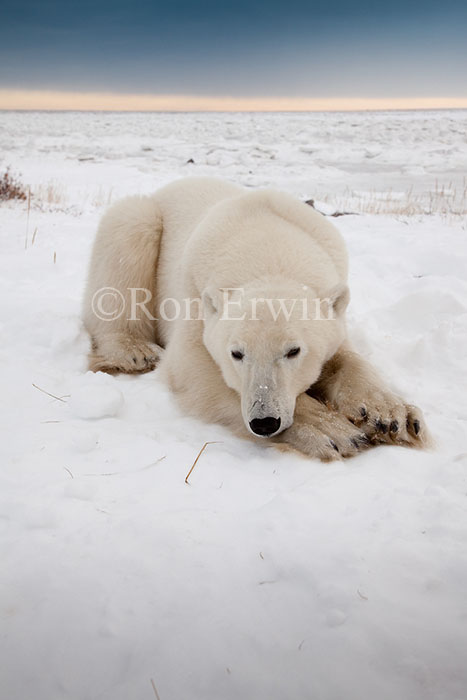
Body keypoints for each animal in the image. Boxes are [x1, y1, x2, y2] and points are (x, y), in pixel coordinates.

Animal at [82, 176, 428, 460]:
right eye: (236, 353)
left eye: (293, 351)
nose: (265, 421)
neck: (266, 244)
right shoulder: (197, 298)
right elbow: (195, 367)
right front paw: (333, 431)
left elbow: (345, 356)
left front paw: (391, 416)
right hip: (145, 221)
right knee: (128, 239)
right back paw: (134, 351)